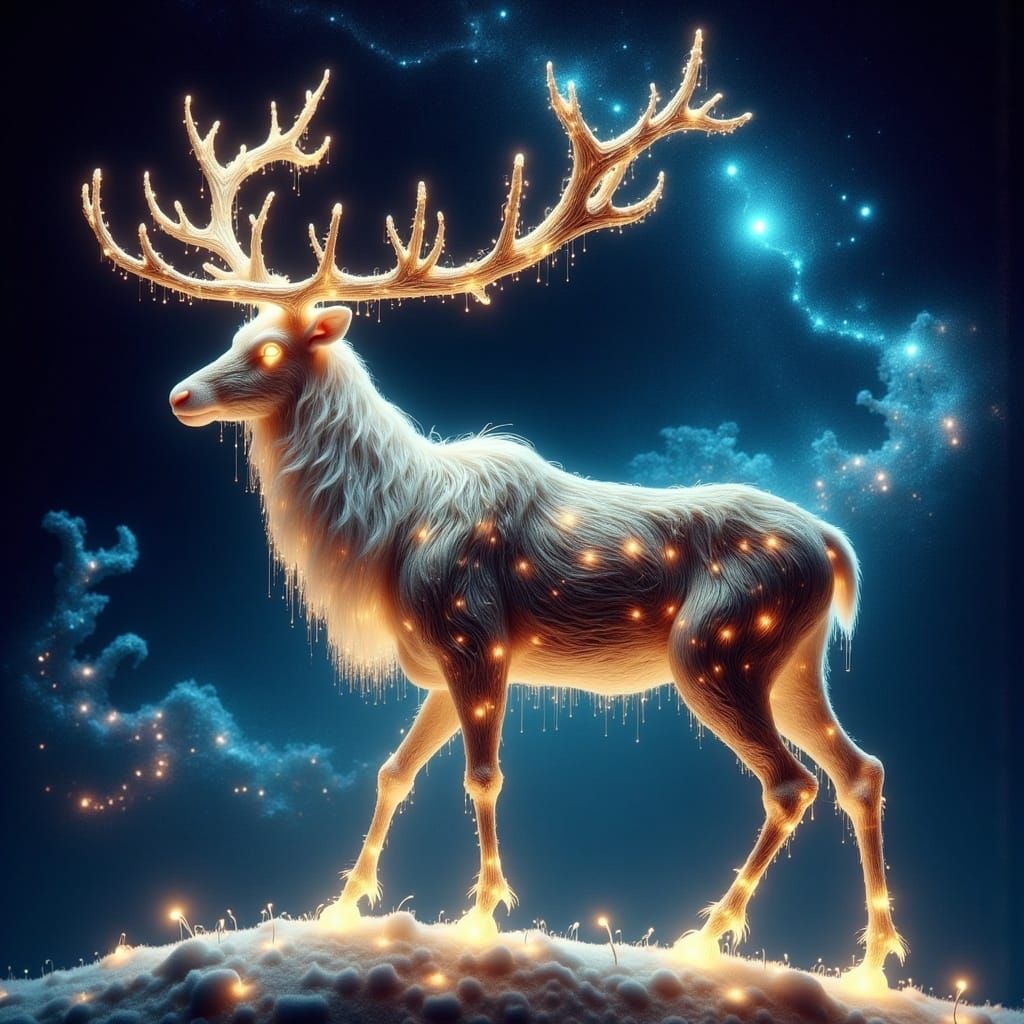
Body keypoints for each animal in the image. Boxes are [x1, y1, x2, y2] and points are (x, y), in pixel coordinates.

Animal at [82, 30, 906, 987]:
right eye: (233, 332)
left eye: (272, 347)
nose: (179, 395)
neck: (384, 530)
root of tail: (836, 546)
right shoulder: (438, 666)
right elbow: (391, 771)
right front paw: (342, 906)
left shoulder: (476, 636)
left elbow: (481, 777)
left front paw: (479, 919)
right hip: (796, 659)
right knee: (860, 768)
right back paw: (872, 964)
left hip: (720, 648)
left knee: (791, 780)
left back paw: (705, 939)